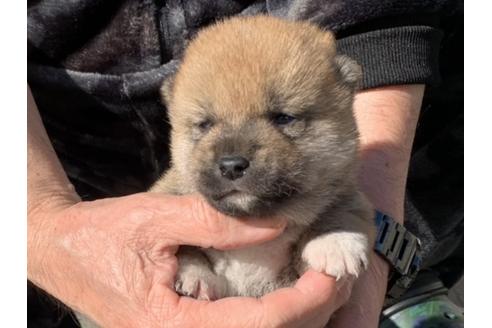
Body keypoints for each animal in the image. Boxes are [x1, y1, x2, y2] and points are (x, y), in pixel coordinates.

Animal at [150, 16, 372, 302]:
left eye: (283, 118)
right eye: (205, 124)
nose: (231, 165)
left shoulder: (346, 192)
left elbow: (339, 211)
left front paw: (334, 241)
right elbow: (186, 249)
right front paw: (196, 276)